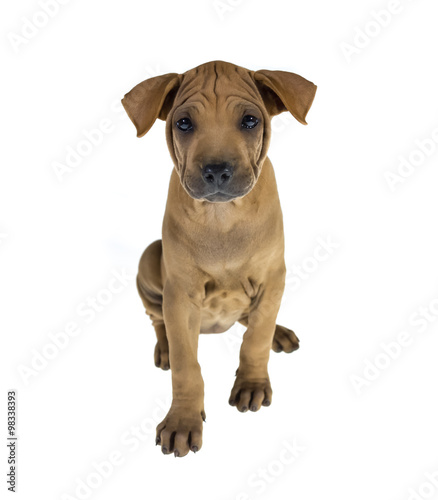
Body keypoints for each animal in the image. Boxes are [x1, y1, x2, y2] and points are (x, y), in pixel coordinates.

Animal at [121, 59, 316, 458]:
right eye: (183, 123)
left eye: (250, 120)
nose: (216, 171)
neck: (222, 217)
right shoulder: (180, 295)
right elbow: (187, 368)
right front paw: (182, 420)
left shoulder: (273, 277)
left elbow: (256, 337)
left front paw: (252, 383)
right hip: (150, 259)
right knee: (157, 320)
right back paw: (164, 348)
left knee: (255, 320)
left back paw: (279, 332)